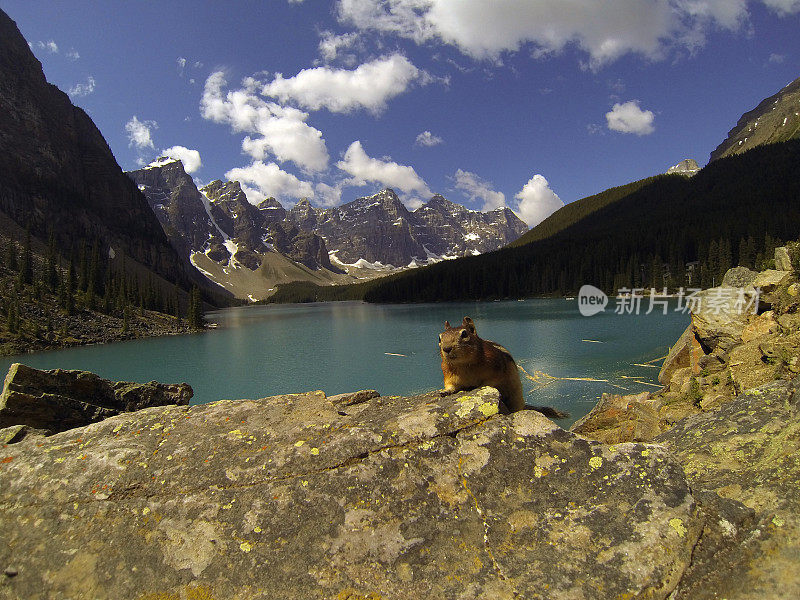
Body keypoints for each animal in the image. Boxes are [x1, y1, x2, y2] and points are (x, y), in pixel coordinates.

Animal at [438, 318, 568, 418]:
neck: (463, 364)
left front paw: (479, 387)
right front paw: (445, 391)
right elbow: (451, 386)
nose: (446, 348)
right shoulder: (448, 375)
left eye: (464, 334)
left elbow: (490, 382)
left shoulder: (497, 369)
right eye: (439, 338)